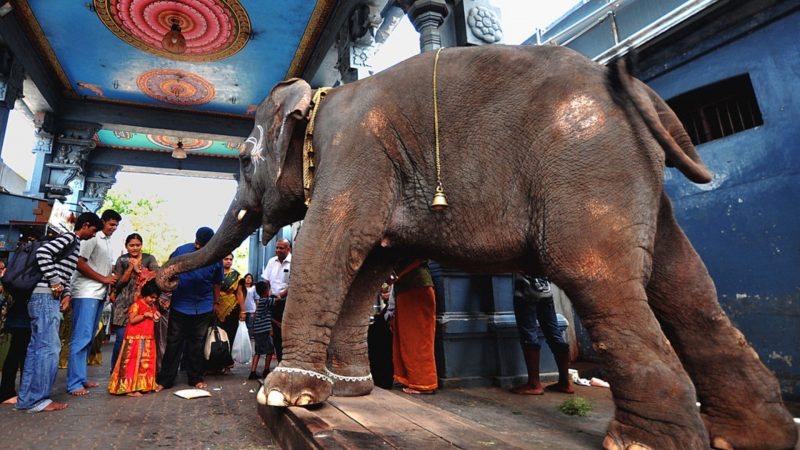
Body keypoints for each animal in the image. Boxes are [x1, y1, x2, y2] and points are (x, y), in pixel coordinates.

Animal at [158, 44, 800, 450]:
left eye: (244, 162)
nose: (160, 280)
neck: (319, 97)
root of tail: (637, 90)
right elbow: (370, 266)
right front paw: (349, 391)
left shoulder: (358, 156)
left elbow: (331, 240)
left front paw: (284, 396)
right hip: (631, 175)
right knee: (688, 287)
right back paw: (751, 436)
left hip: (587, 166)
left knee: (599, 278)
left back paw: (641, 442)